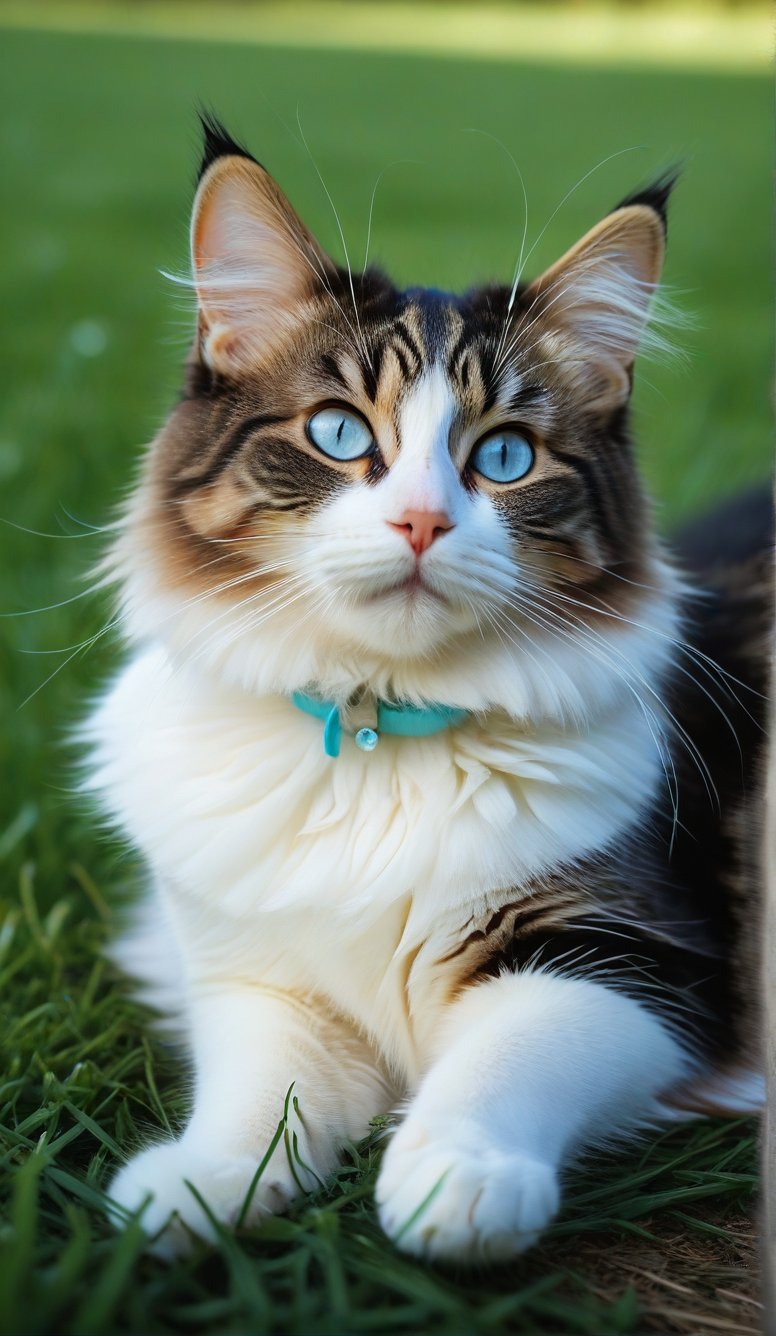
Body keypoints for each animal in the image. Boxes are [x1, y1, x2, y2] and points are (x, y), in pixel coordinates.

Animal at [84, 117, 769, 1261]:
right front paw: (197, 1185)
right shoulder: (256, 976)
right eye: (338, 434)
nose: (421, 522)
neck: (375, 731)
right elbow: (260, 1095)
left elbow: (504, 1060)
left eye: (504, 455)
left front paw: (459, 1179)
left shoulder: (637, 960)